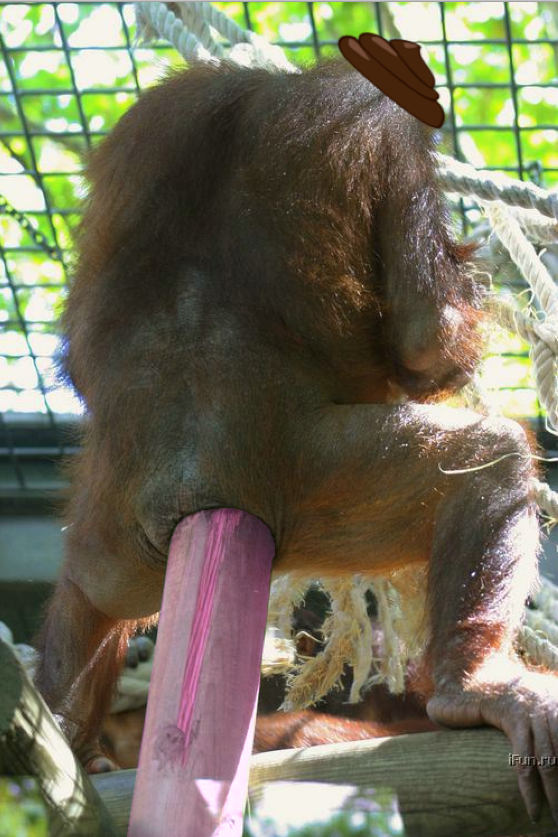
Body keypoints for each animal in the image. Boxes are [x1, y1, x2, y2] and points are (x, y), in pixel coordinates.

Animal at [34, 61, 558, 822]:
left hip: (115, 534)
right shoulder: (389, 127)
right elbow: (427, 337)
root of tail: (193, 496)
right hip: (314, 479)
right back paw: (473, 687)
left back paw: (63, 736)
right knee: (488, 463)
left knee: (84, 590)